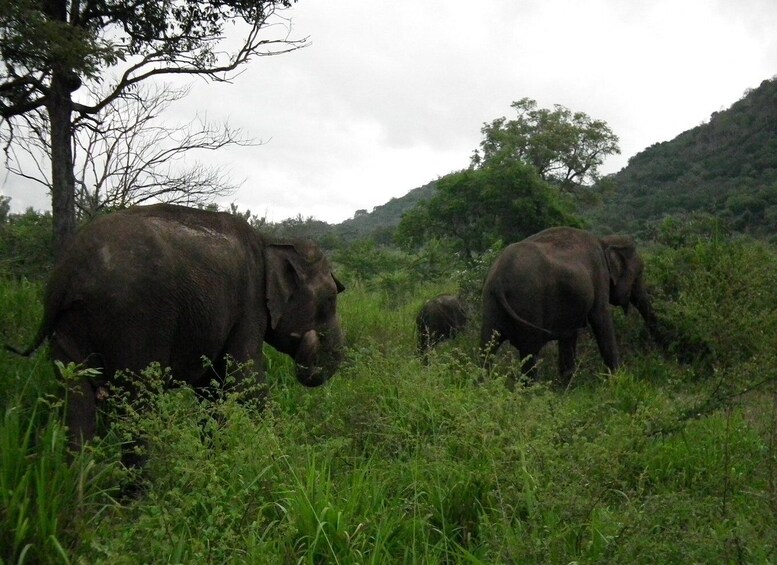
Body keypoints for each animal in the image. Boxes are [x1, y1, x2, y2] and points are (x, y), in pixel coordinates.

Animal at [12, 203, 342, 458]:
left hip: (69, 327)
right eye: (330, 299)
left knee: (76, 401)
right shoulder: (249, 306)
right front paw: (277, 459)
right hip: (134, 319)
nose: (312, 339)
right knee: (138, 402)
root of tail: (69, 271)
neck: (271, 241)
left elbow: (211, 389)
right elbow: (246, 380)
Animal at [482, 227, 656, 382]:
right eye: (640, 273)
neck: (604, 241)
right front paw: (618, 379)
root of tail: (498, 280)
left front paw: (567, 385)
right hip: (529, 302)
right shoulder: (599, 275)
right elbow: (601, 319)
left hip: (491, 305)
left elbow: (569, 335)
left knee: (486, 346)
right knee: (529, 349)